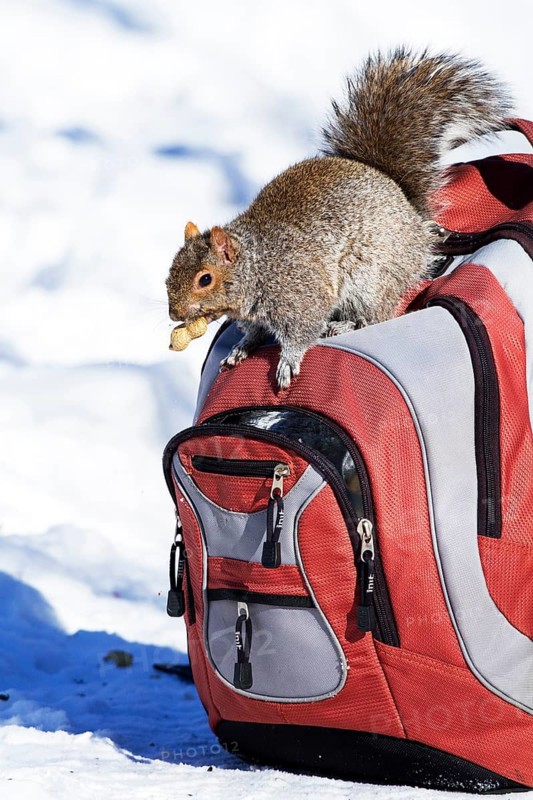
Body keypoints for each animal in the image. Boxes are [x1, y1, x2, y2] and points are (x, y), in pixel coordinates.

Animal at [166, 47, 512, 389]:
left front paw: (287, 362)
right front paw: (240, 349)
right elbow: (253, 332)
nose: (173, 314)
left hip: (369, 280)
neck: (258, 264)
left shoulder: (302, 294)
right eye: (169, 274)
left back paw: (342, 326)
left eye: (205, 279)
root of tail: (413, 221)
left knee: (375, 317)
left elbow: (301, 332)